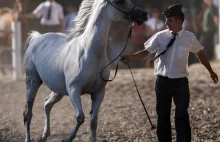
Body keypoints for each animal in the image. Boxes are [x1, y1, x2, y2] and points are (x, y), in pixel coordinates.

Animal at [22, 0, 148, 141]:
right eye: (119, 1)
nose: (143, 14)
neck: (90, 52)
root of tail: (37, 38)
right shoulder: (74, 90)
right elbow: (80, 117)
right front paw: (67, 138)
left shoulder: (99, 93)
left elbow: (93, 122)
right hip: (32, 81)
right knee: (28, 112)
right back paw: (29, 138)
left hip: (58, 90)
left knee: (47, 104)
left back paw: (44, 136)